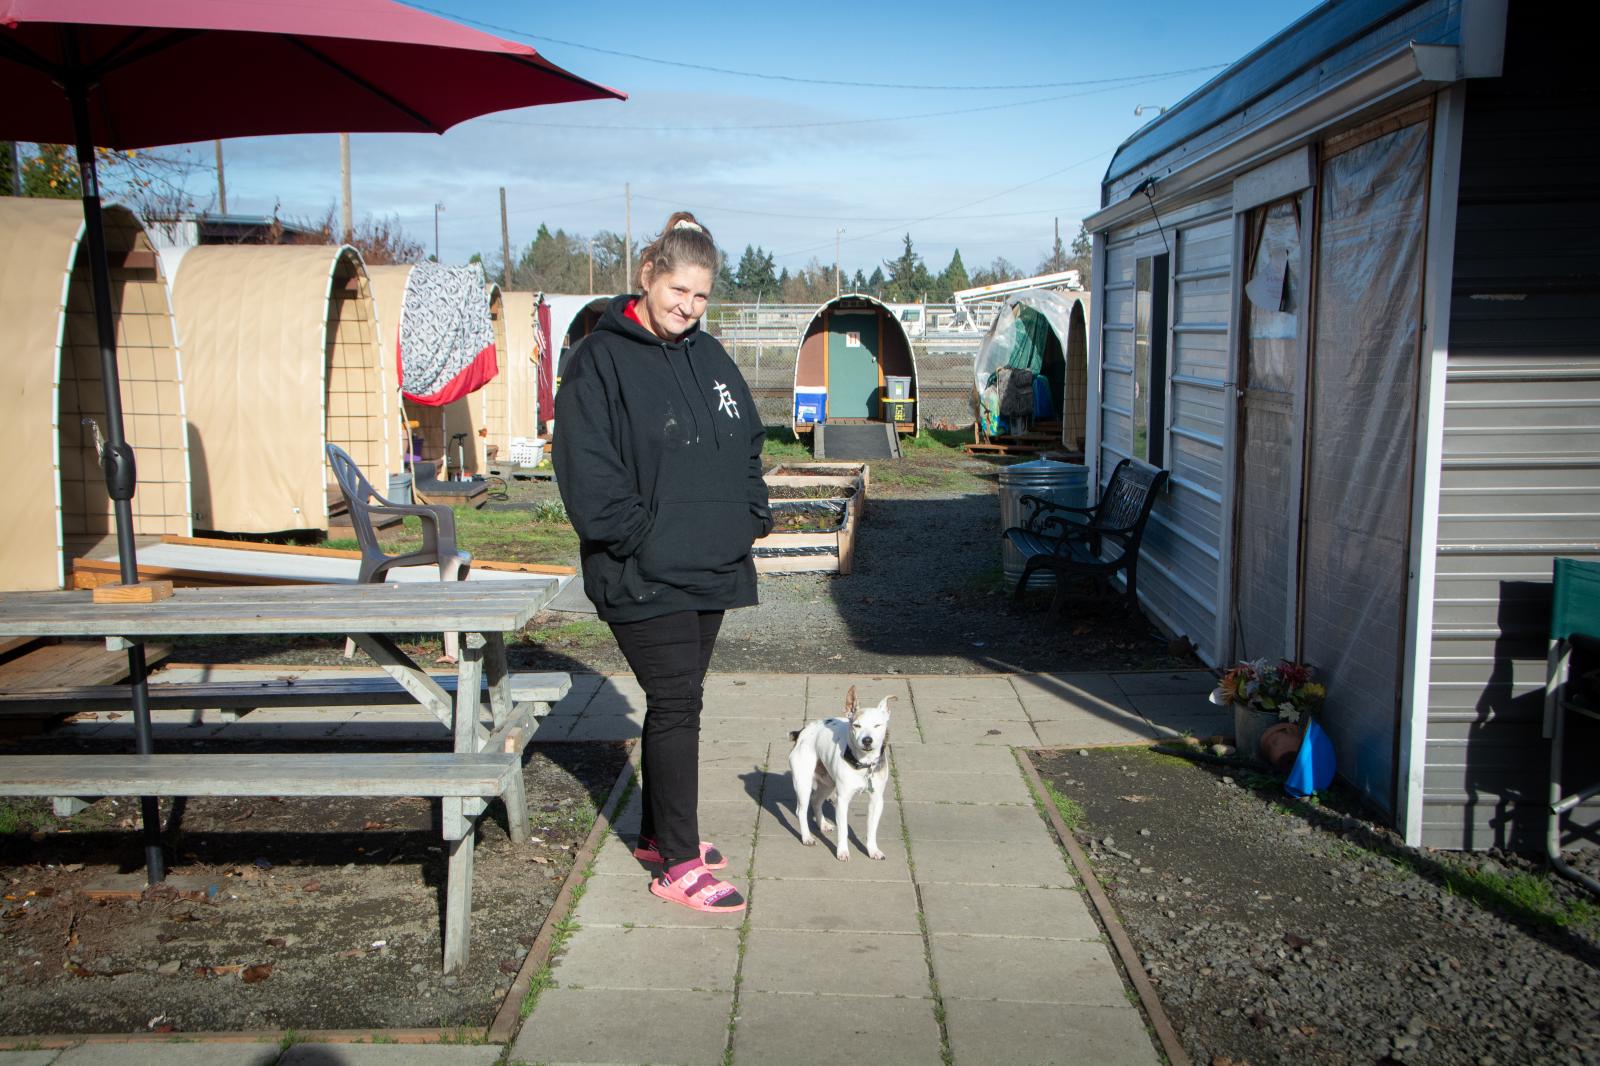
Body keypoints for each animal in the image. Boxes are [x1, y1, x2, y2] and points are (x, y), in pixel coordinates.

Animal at [790, 685, 902, 857]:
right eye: (857, 725)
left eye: (877, 725)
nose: (867, 740)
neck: (864, 764)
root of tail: (802, 731)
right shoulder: (842, 800)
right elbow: (843, 830)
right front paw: (842, 852)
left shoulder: (876, 800)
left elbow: (872, 830)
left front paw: (872, 850)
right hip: (803, 784)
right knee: (801, 811)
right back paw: (807, 837)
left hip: (827, 784)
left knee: (816, 800)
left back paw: (823, 825)